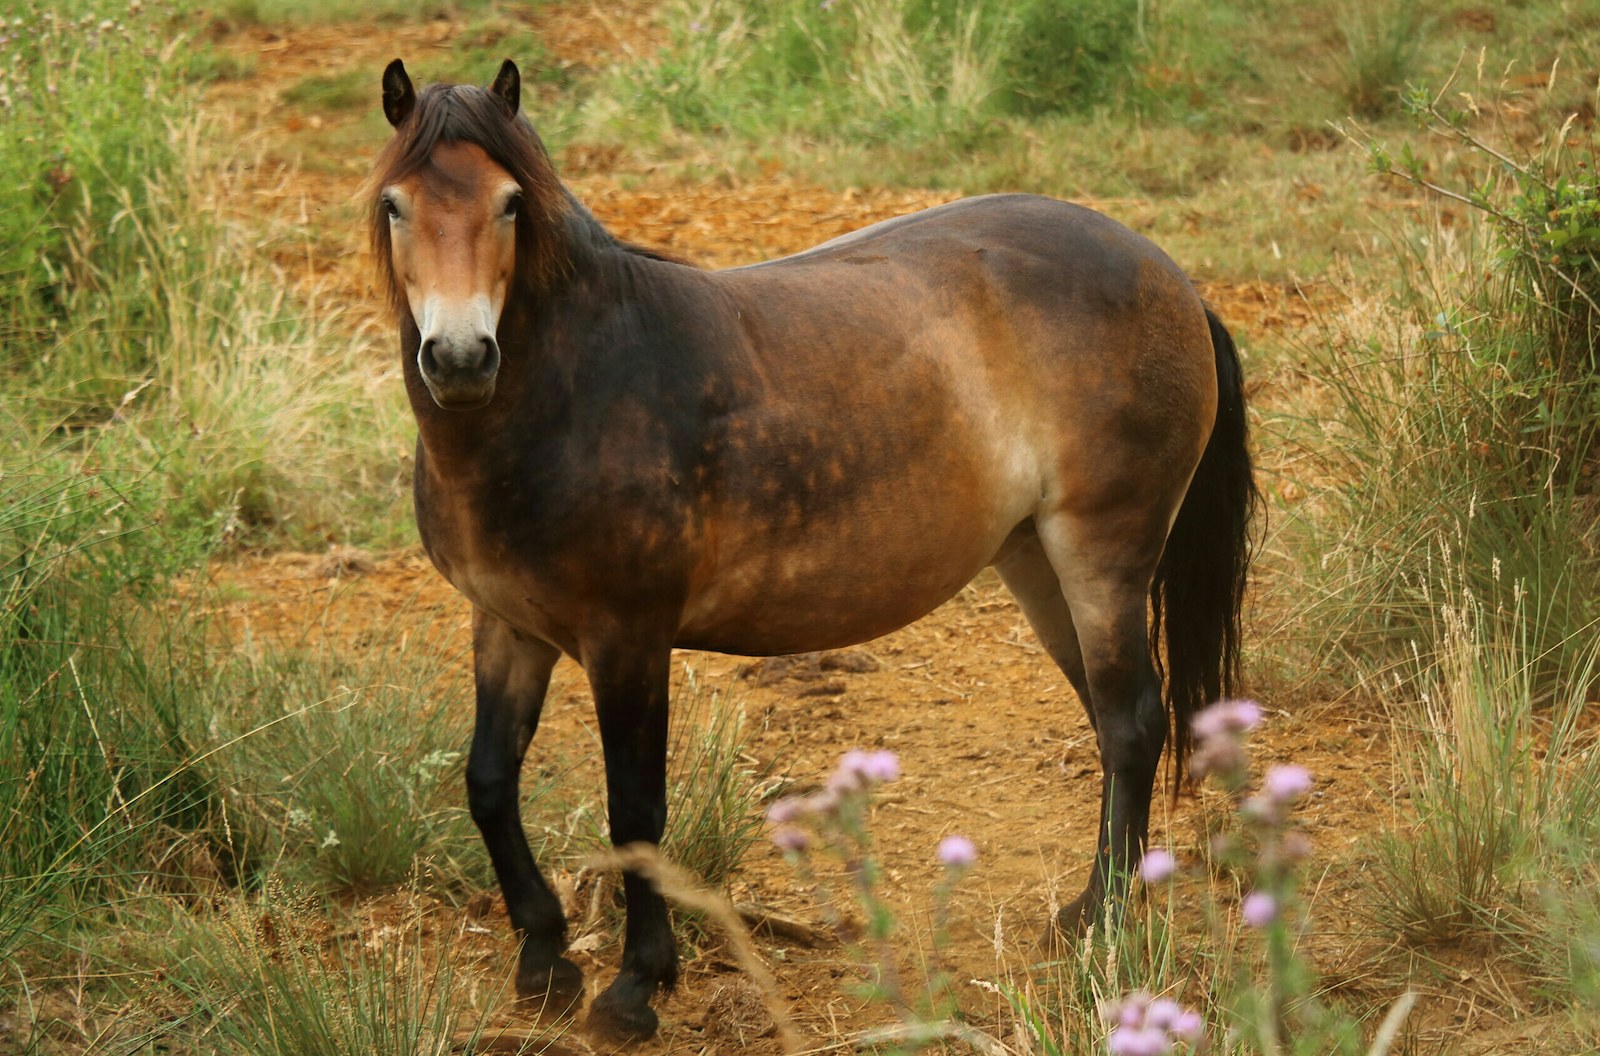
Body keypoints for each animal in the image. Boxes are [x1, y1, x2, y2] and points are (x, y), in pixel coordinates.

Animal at [371, 60, 1260, 1036]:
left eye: (508, 205)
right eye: (394, 206)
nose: (460, 358)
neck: (575, 390)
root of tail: (1169, 275)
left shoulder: (628, 639)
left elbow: (635, 811)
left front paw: (639, 984)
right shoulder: (506, 626)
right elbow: (489, 783)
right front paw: (542, 956)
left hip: (1102, 555)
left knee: (1134, 720)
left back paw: (1102, 919)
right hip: (1037, 564)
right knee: (1113, 721)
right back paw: (1096, 908)